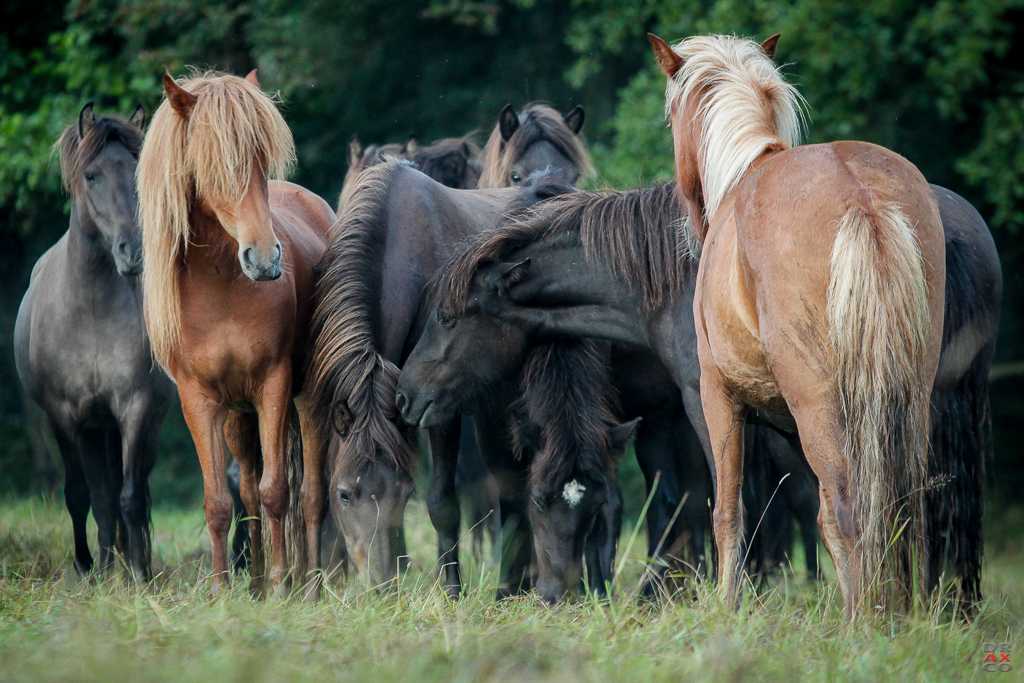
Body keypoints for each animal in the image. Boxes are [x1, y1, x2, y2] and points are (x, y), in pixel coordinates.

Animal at [13, 104, 174, 581]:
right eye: (91, 175)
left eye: (136, 171)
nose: (133, 252)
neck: (92, 313)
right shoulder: (69, 417)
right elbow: (85, 495)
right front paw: (94, 569)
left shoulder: (136, 409)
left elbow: (129, 497)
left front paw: (138, 573)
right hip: (95, 428)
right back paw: (102, 562)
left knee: (130, 490)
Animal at [136, 70, 333, 598]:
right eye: (212, 164)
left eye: (262, 160)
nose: (264, 259)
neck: (222, 286)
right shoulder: (201, 401)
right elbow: (221, 503)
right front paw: (223, 592)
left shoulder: (274, 386)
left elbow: (276, 492)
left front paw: (284, 588)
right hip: (237, 417)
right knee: (246, 487)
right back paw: (258, 584)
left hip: (308, 400)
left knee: (310, 493)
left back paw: (308, 584)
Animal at [651, 33, 946, 618]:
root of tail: (862, 196)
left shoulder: (719, 396)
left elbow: (731, 514)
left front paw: (727, 608)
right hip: (908, 399)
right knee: (904, 507)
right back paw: (906, 616)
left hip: (819, 405)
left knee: (850, 509)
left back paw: (862, 623)